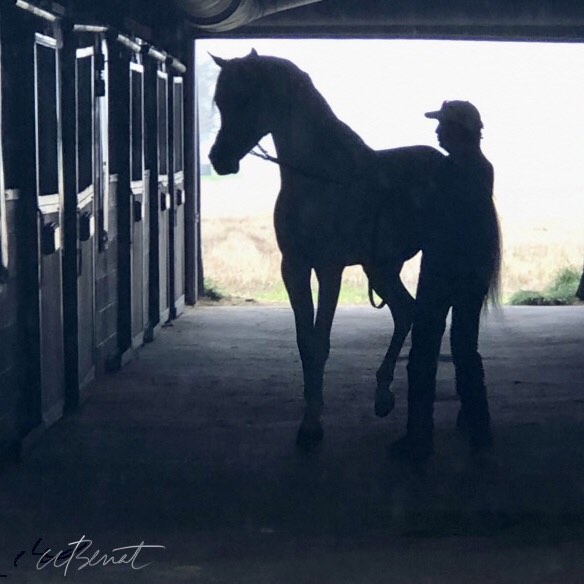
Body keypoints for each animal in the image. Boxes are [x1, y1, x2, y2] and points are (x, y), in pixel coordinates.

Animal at [208, 51, 444, 452]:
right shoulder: (294, 268)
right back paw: (384, 396)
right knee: (406, 312)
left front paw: (312, 426)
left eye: (246, 98)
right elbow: (306, 342)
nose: (219, 159)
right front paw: (309, 416)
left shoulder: (329, 268)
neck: (321, 177)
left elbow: (320, 341)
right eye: (220, 102)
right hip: (381, 268)